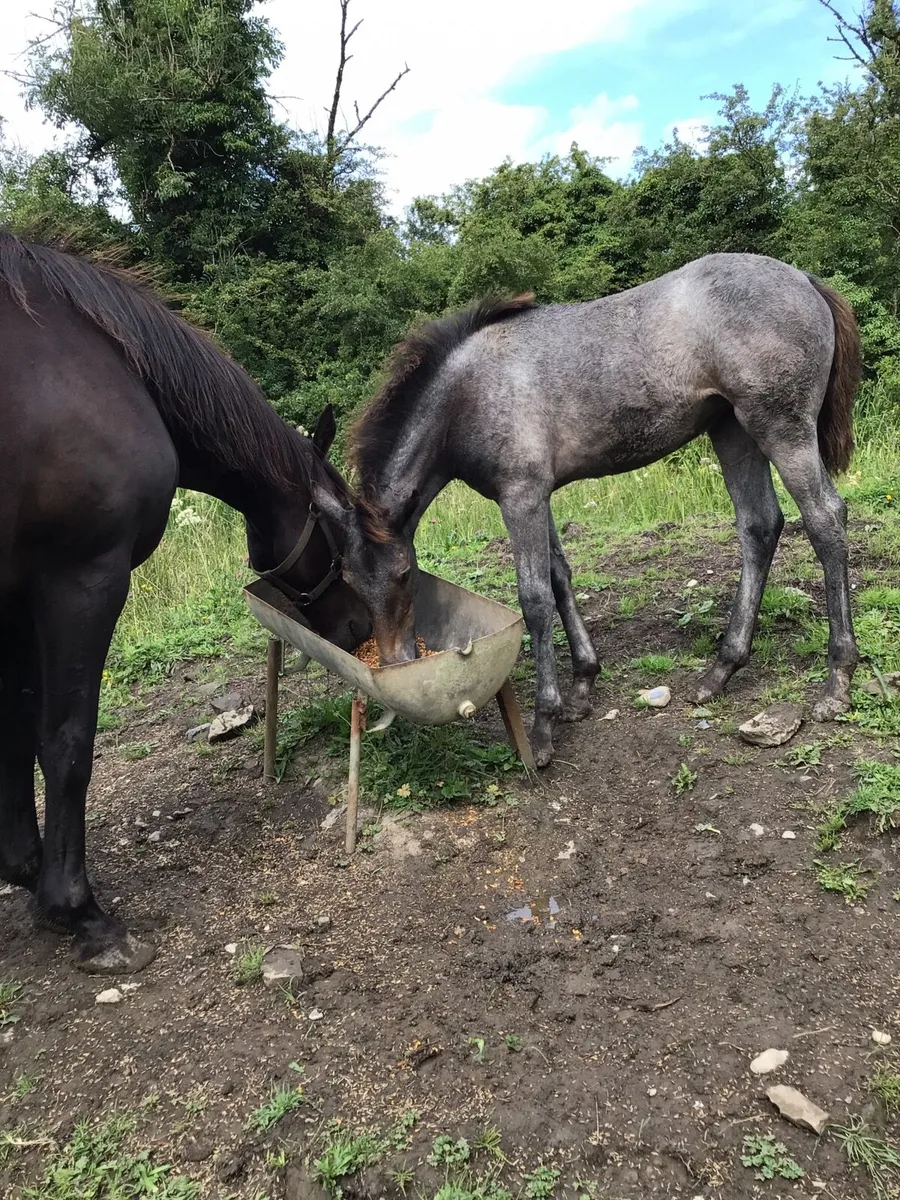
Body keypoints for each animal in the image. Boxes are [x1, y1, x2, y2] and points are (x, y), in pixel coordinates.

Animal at [0, 230, 370, 973]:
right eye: (340, 522)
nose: (363, 624)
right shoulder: (80, 579)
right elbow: (66, 740)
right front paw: (77, 911)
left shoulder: (17, 597)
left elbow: (18, 731)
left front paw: (25, 870)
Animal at [312, 252, 862, 768]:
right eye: (350, 581)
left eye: (406, 575)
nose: (396, 660)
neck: (467, 395)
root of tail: (804, 278)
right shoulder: (539, 495)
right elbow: (559, 577)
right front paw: (582, 687)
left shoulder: (521, 496)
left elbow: (534, 599)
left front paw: (543, 725)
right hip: (731, 430)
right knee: (760, 526)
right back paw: (720, 671)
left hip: (780, 427)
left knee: (825, 518)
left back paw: (837, 681)